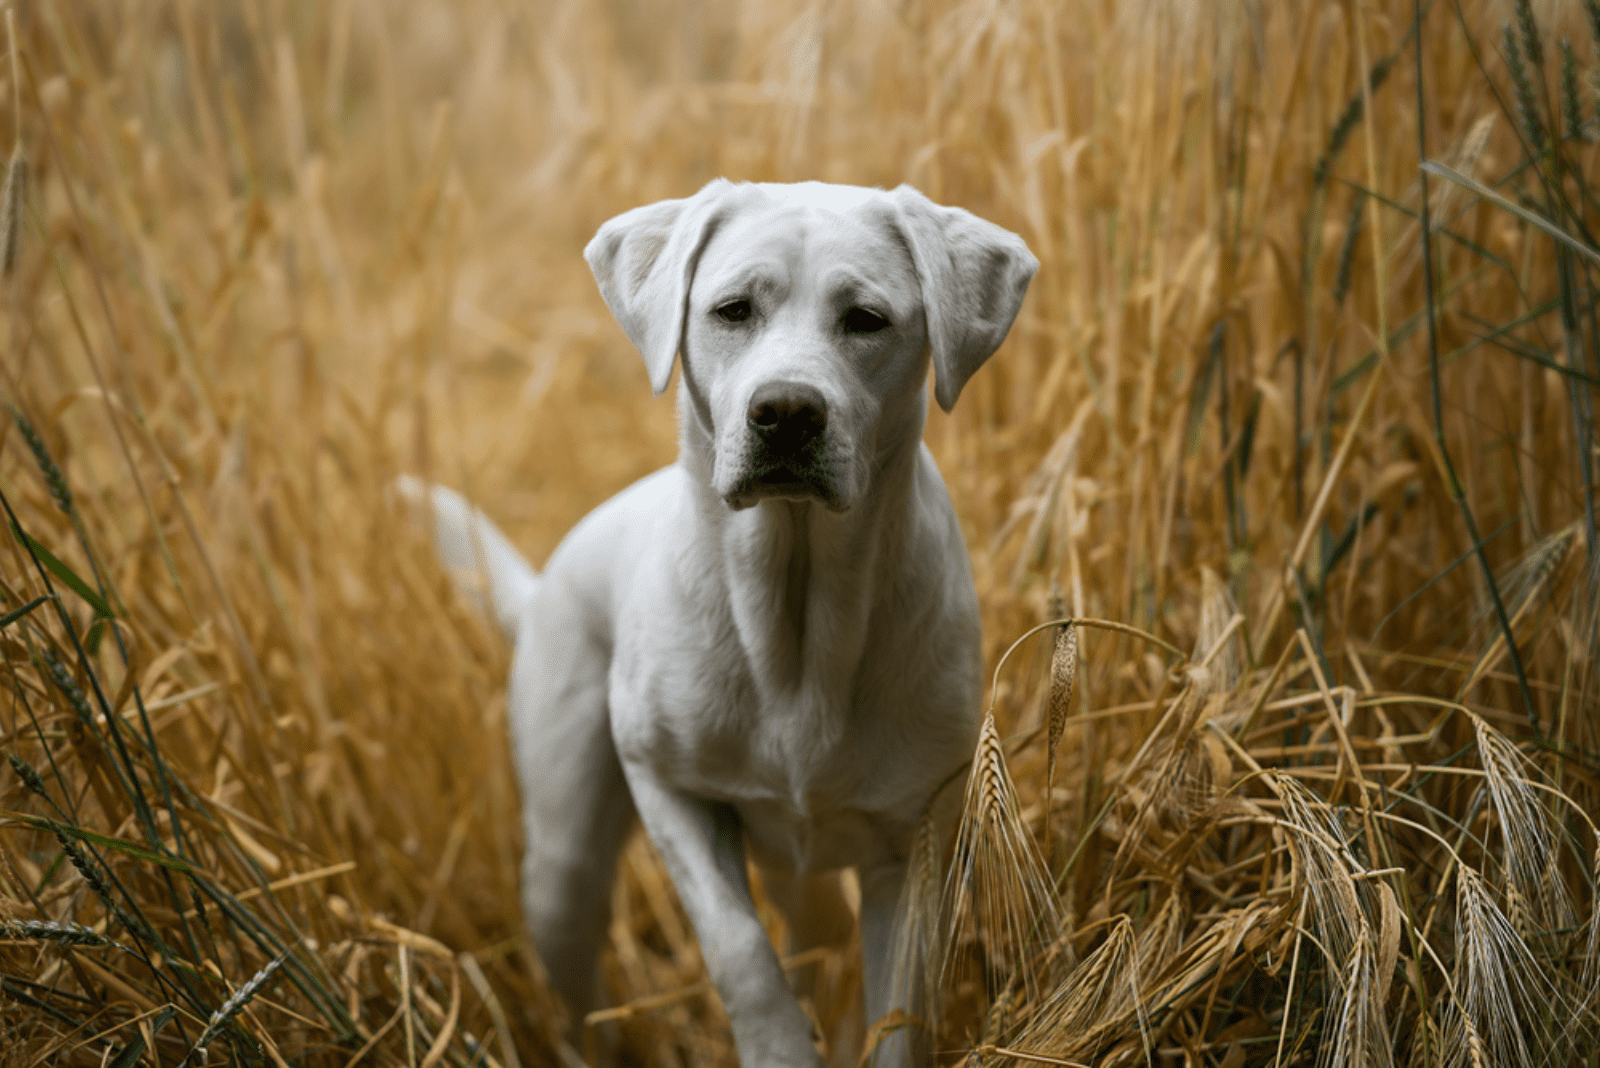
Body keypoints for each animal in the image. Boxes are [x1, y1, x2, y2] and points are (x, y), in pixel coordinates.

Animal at [393, 179, 1030, 1061]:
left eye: (866, 318)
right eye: (732, 310)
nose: (787, 411)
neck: (793, 618)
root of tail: (551, 577)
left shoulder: (913, 838)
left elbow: (898, 1012)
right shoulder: (671, 788)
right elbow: (739, 950)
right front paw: (780, 1050)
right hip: (563, 864)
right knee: (581, 980)